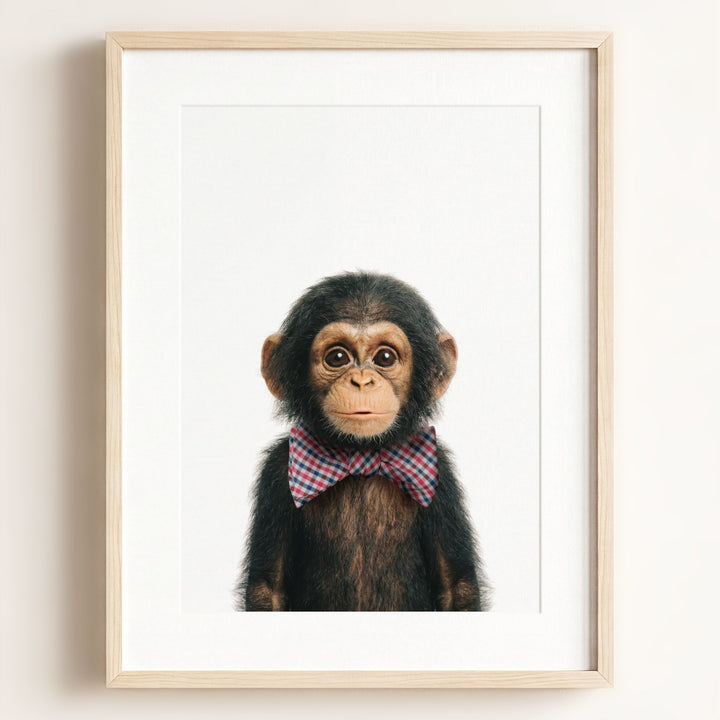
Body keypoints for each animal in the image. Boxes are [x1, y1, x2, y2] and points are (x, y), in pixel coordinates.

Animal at [236, 271, 490, 611]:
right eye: (337, 357)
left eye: (385, 357)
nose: (361, 381)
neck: (361, 455)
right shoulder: (276, 471)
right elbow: (267, 588)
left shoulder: (440, 474)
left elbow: (457, 587)